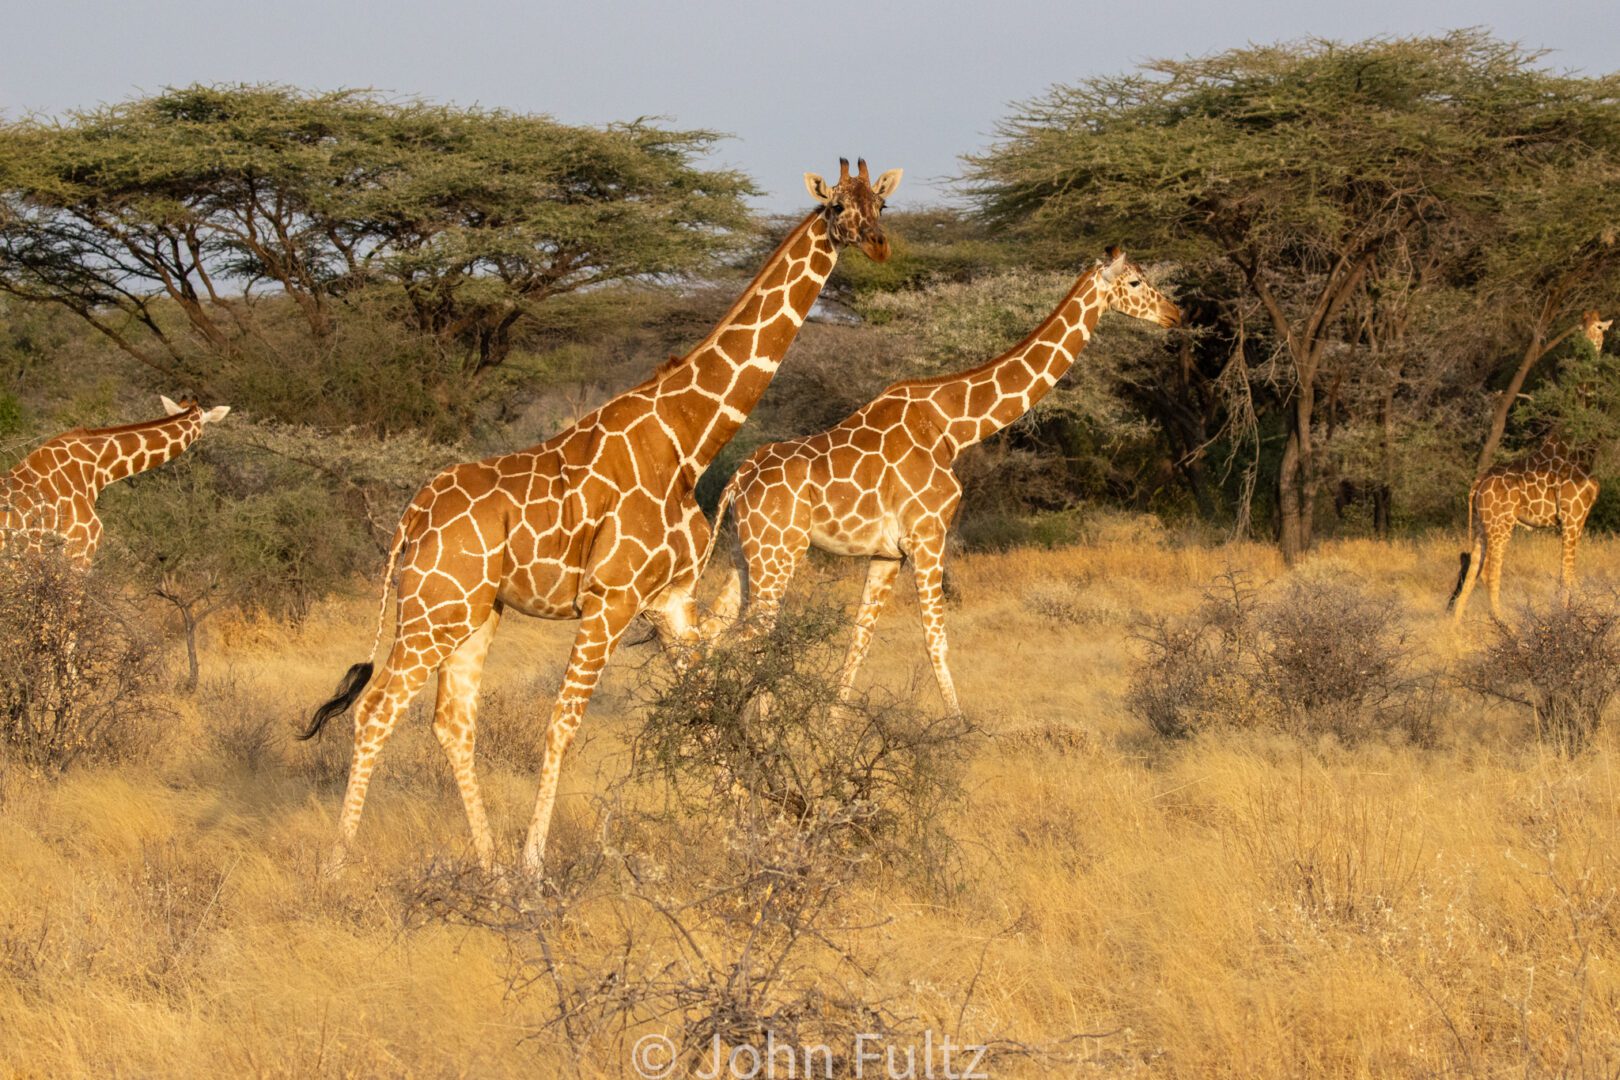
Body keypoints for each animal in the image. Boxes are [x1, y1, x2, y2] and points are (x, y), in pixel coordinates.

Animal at [696, 244, 1179, 718]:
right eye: (1136, 281)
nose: (1175, 313)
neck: (953, 426)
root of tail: (736, 482)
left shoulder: (888, 553)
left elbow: (860, 638)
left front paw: (832, 724)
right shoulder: (928, 535)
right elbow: (936, 641)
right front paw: (959, 728)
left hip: (743, 553)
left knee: (710, 631)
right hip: (778, 553)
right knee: (749, 639)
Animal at [1445, 307, 1607, 621]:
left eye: (1599, 328)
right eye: (1582, 329)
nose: (1586, 347)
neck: (1580, 446)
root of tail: (1478, 482)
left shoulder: (1581, 518)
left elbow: (1567, 574)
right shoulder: (1570, 517)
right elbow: (1566, 576)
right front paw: (1565, 620)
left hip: (1483, 524)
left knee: (1471, 572)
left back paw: (1454, 630)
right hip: (1501, 523)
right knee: (1489, 573)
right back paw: (1507, 626)